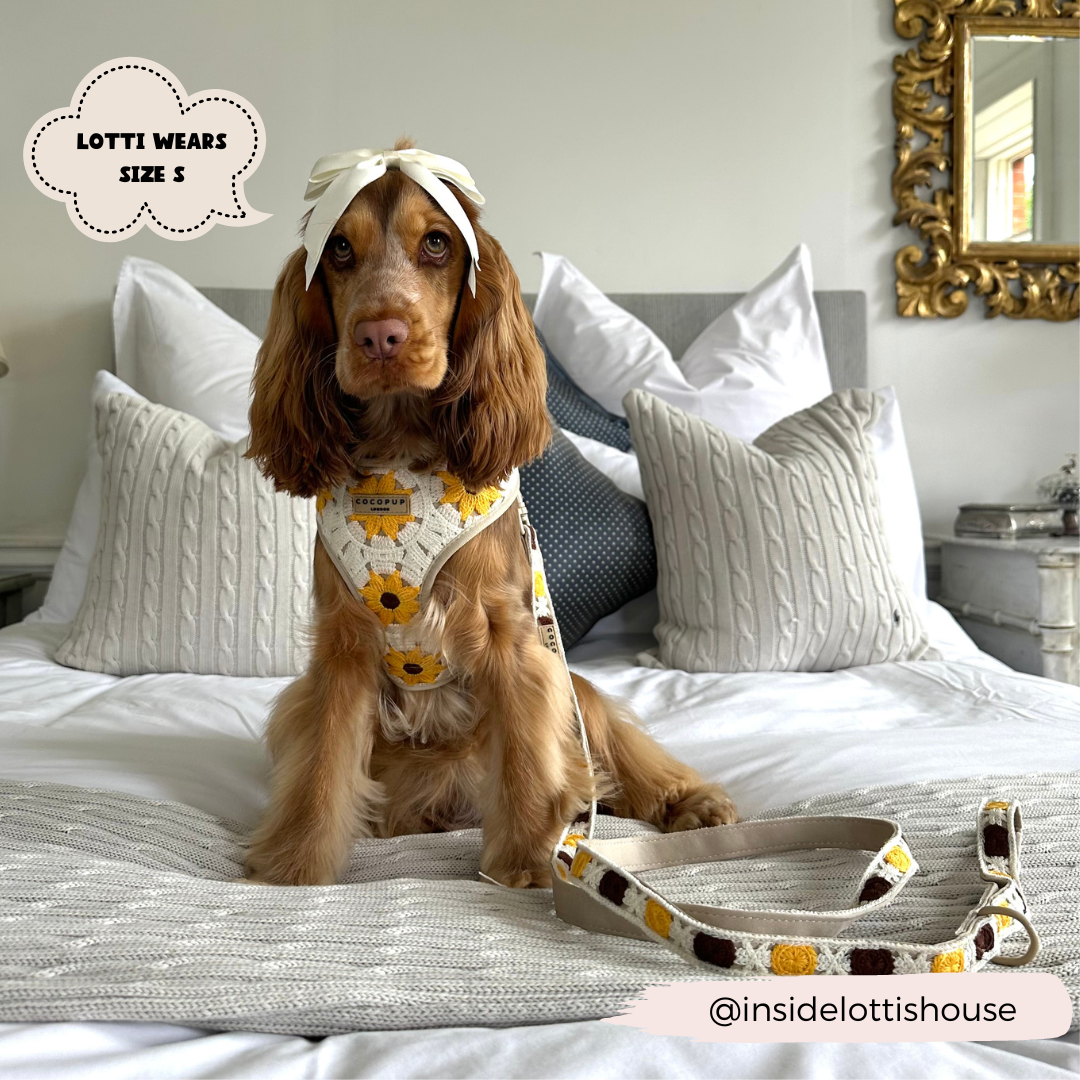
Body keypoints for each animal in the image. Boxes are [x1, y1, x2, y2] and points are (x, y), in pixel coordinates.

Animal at [244, 139, 734, 889]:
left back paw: (692, 803)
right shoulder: (341, 647)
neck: (400, 454)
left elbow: (529, 760)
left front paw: (530, 863)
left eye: (436, 243)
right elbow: (321, 766)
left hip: (575, 690)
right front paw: (294, 867)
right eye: (339, 249)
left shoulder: (513, 639)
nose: (380, 336)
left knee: (620, 755)